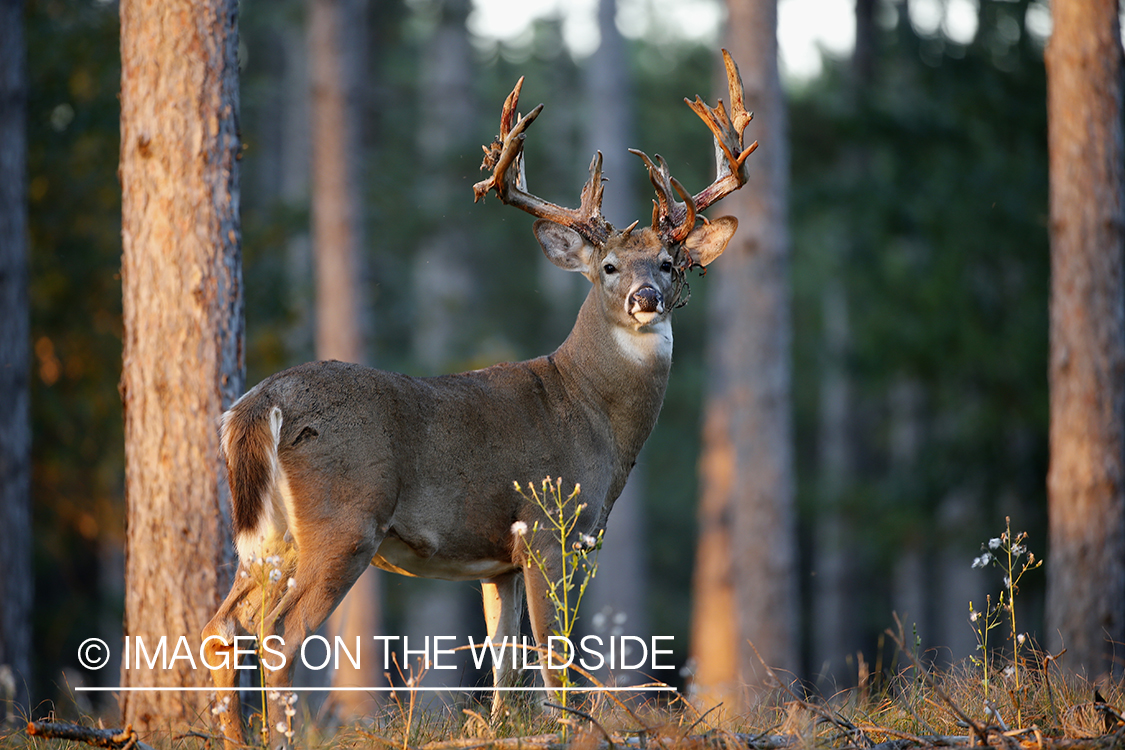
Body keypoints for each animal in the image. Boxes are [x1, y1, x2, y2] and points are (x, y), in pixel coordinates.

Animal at [204, 49, 756, 746]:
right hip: (344, 520)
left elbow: (503, 661)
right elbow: (554, 654)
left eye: (669, 262)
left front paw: (501, 725)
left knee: (223, 626)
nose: (646, 299)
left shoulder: (499, 560)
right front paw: (567, 727)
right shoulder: (548, 526)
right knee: (279, 628)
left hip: (267, 537)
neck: (591, 412)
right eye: (608, 267)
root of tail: (260, 402)